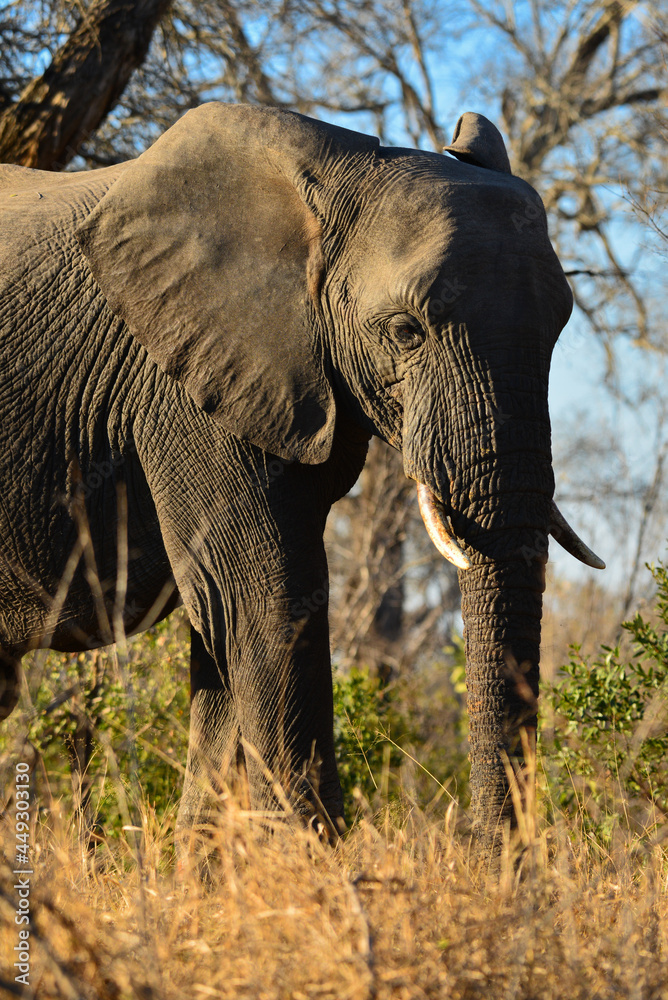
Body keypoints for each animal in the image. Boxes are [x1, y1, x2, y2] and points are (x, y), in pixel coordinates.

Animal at [0, 103, 603, 846]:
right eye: (405, 331)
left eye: (558, 330)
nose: (492, 858)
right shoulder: (186, 384)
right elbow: (261, 598)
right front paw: (321, 865)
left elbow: (228, 627)